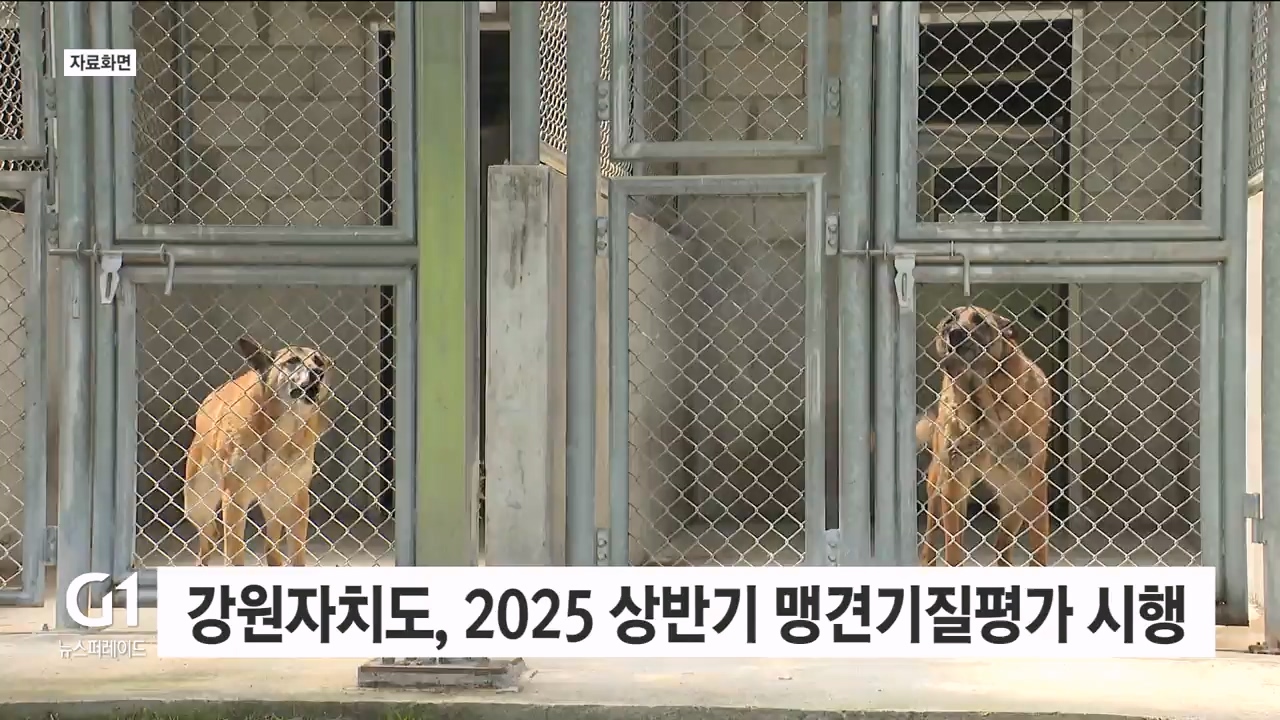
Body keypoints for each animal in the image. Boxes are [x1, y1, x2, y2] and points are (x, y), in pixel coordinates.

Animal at [183, 336, 332, 566]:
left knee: (270, 547)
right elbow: (234, 554)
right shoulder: (234, 498)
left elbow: (297, 553)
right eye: (293, 361)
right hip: (195, 501)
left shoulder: (297, 498)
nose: (318, 372)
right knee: (209, 535)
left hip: (274, 501)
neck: (283, 429)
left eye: (318, 361)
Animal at [915, 305, 1051, 567]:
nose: (955, 334)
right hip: (937, 485)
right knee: (929, 542)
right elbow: (953, 549)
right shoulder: (954, 480)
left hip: (1014, 498)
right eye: (949, 321)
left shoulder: (1033, 483)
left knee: (1002, 548)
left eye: (980, 321)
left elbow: (1039, 548)